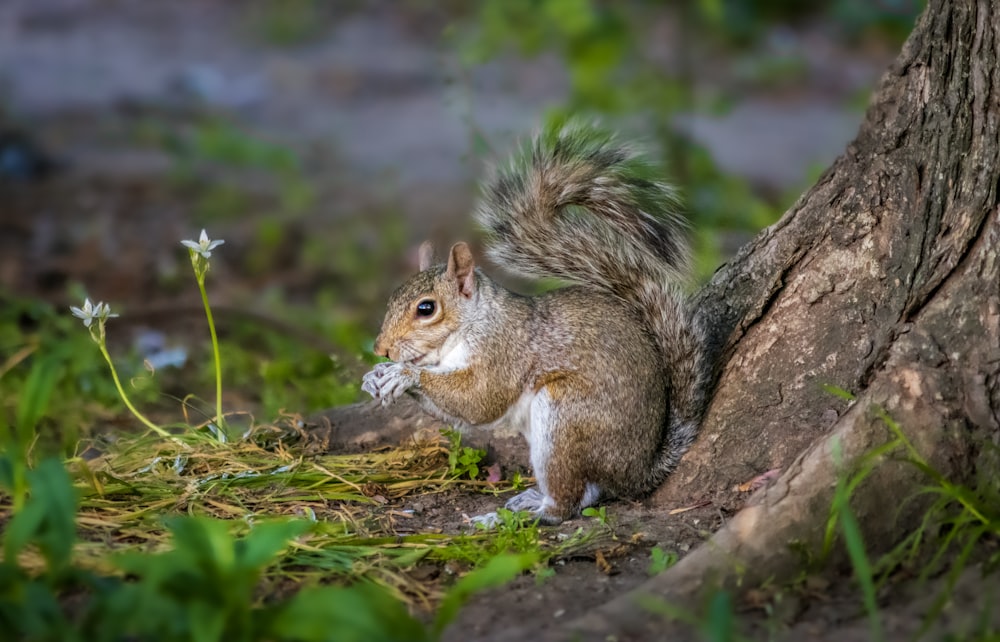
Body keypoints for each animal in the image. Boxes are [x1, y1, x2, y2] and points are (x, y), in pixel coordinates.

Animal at [364, 121, 708, 524]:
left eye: (426, 308)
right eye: (392, 298)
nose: (381, 348)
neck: (473, 325)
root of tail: (637, 471)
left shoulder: (504, 352)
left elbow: (479, 400)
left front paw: (403, 374)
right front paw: (376, 375)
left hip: (565, 419)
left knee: (566, 505)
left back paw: (515, 516)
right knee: (588, 494)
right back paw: (530, 500)